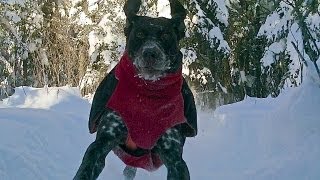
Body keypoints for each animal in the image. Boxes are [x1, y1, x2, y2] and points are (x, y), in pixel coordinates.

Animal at [73, 0, 196, 179]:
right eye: (139, 34)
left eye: (166, 35)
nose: (150, 53)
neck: (147, 94)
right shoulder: (102, 142)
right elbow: (87, 168)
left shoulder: (174, 157)